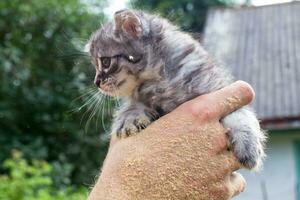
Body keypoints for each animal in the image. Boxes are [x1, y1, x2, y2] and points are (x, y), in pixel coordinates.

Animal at [85, 9, 266, 169]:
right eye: (94, 65)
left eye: (106, 62)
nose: (96, 82)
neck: (160, 83)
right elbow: (133, 106)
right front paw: (130, 119)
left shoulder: (218, 88)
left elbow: (240, 115)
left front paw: (249, 147)